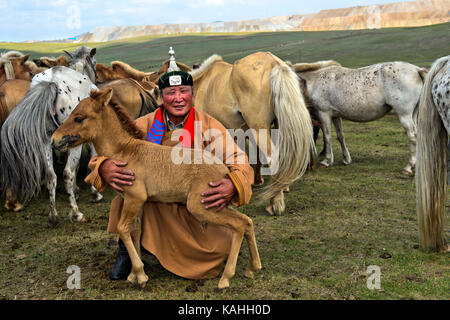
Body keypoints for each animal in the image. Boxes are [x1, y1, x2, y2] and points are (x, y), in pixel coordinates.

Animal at [294, 60, 428, 175]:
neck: (315, 79)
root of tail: (417, 70)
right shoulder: (336, 116)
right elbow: (340, 136)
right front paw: (346, 159)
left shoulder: (324, 114)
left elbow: (327, 137)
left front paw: (327, 161)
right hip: (413, 114)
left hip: (404, 115)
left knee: (412, 136)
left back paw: (408, 167)